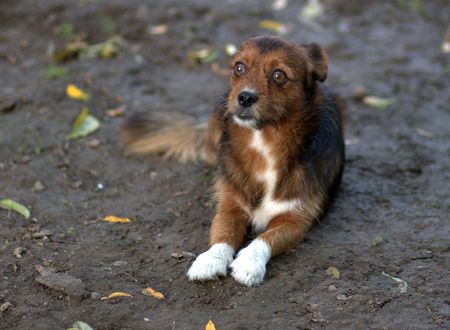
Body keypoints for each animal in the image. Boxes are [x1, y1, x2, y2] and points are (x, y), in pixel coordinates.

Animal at [119, 34, 344, 284]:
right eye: (239, 67)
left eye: (279, 75)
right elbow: (223, 233)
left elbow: (265, 238)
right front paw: (211, 259)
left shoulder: (296, 219)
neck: (264, 140)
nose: (245, 97)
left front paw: (249, 263)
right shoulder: (231, 205)